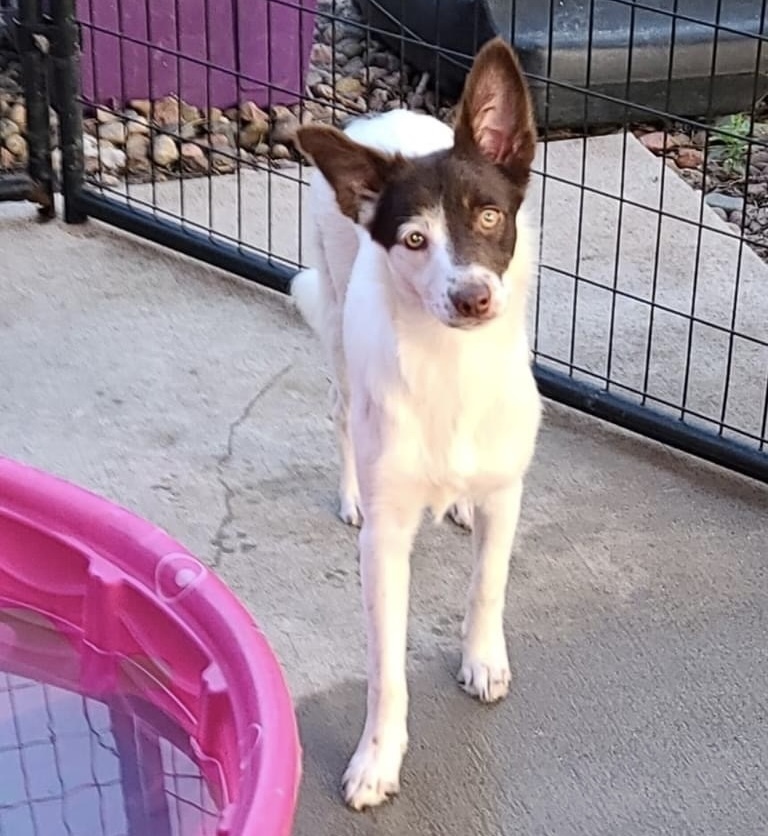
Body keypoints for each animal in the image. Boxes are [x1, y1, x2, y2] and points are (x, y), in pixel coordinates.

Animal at [292, 37, 540, 808]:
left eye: (488, 216)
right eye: (411, 239)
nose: (472, 297)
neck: (452, 372)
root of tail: (385, 116)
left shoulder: (507, 495)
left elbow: (488, 584)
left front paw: (483, 660)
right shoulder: (385, 543)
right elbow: (385, 669)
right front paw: (378, 759)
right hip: (339, 331)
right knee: (339, 412)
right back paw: (348, 492)